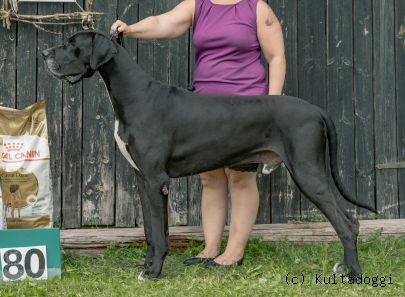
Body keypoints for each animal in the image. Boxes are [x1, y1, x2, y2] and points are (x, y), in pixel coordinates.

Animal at [42, 30, 378, 280]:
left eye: (72, 44)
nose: (45, 55)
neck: (135, 95)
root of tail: (318, 110)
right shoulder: (143, 180)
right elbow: (151, 232)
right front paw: (147, 267)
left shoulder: (156, 181)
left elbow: (160, 234)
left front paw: (153, 273)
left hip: (308, 171)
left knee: (347, 223)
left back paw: (354, 273)